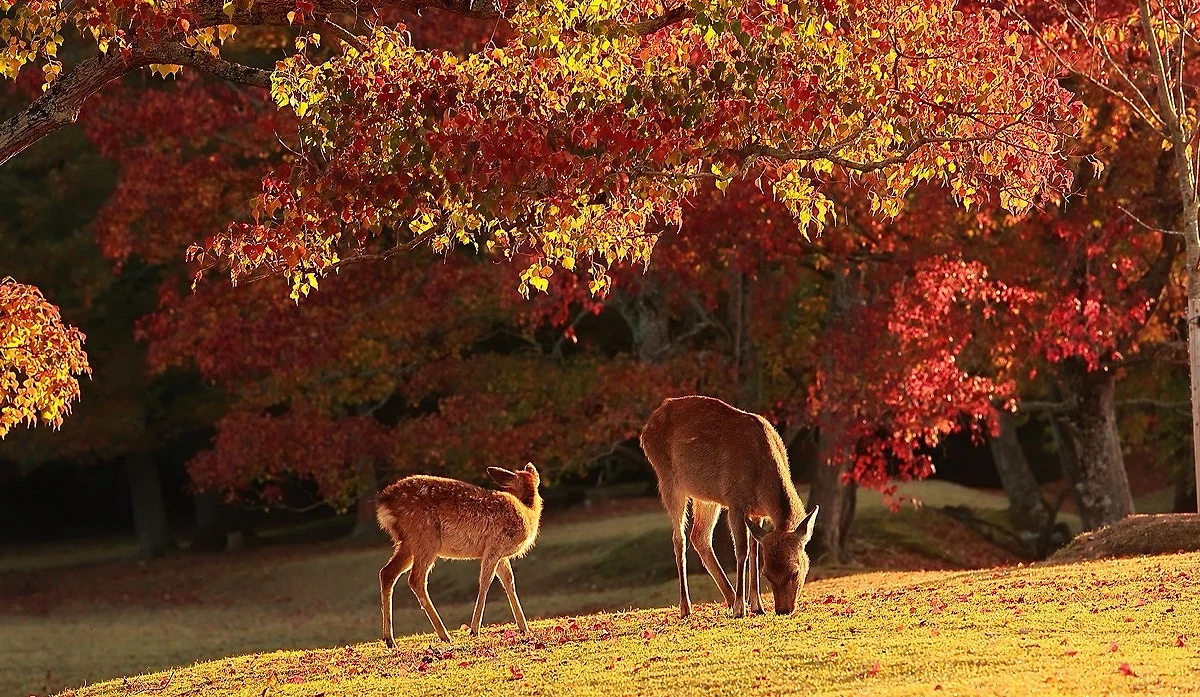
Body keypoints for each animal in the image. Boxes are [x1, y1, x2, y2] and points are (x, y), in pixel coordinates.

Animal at [375, 462, 542, 646]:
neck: (527, 512)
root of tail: (384, 502)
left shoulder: (501, 554)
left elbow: (509, 580)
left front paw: (524, 627)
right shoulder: (495, 545)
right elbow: (486, 582)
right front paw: (474, 630)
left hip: (408, 543)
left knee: (387, 572)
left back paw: (390, 639)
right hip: (425, 537)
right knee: (415, 579)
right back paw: (445, 635)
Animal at [640, 395, 819, 619]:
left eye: (795, 571)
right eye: (768, 574)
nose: (783, 610)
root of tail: (644, 431)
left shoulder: (756, 513)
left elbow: (754, 552)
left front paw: (756, 606)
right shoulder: (736, 502)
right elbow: (742, 551)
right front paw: (740, 609)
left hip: (706, 497)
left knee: (699, 536)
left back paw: (729, 596)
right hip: (669, 481)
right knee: (679, 538)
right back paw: (686, 607)